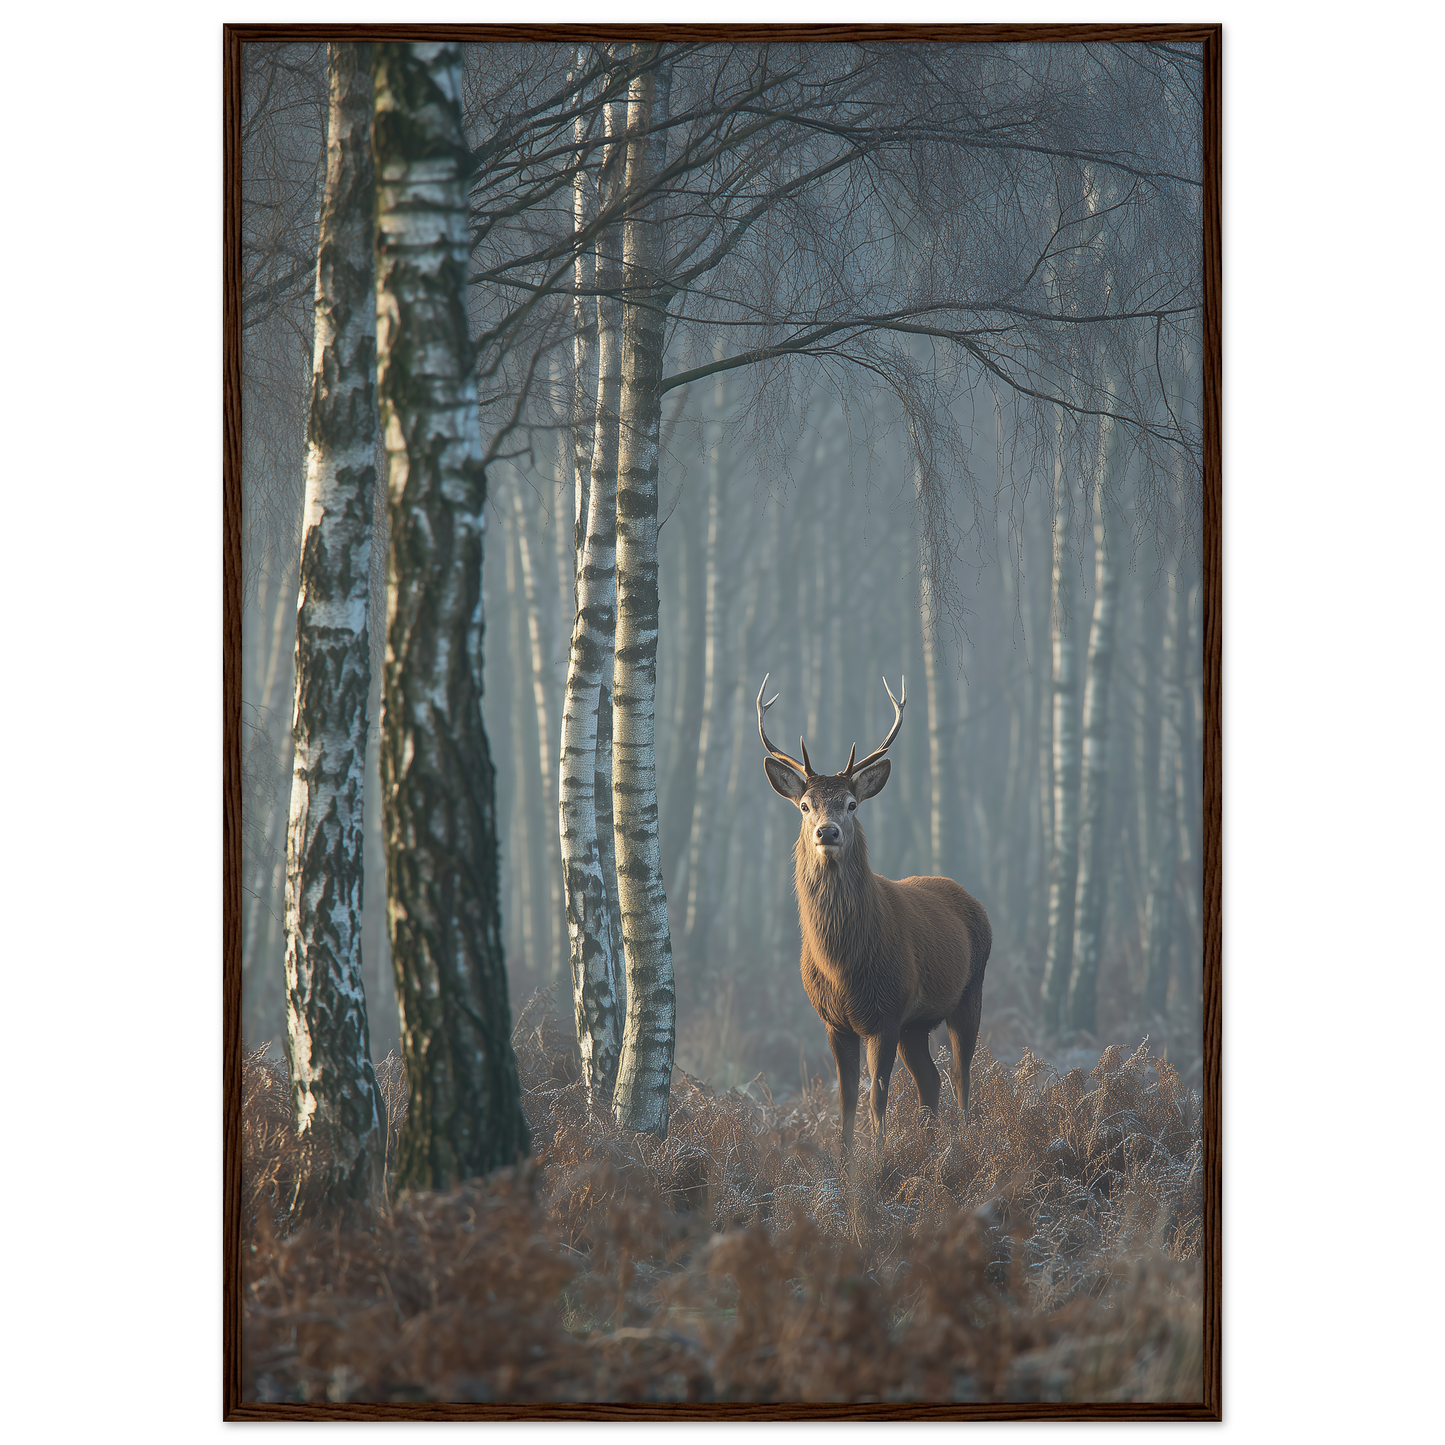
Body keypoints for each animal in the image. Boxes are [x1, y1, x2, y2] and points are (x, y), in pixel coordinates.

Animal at [758, 674, 991, 1164]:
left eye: (851, 803)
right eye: (805, 805)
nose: (827, 832)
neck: (843, 967)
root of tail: (972, 900)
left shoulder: (885, 1012)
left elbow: (876, 1096)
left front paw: (879, 1160)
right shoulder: (835, 1021)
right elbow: (846, 1098)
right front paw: (845, 1164)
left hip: (969, 992)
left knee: (962, 1078)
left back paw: (964, 1145)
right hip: (916, 1024)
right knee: (931, 1081)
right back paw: (930, 1147)